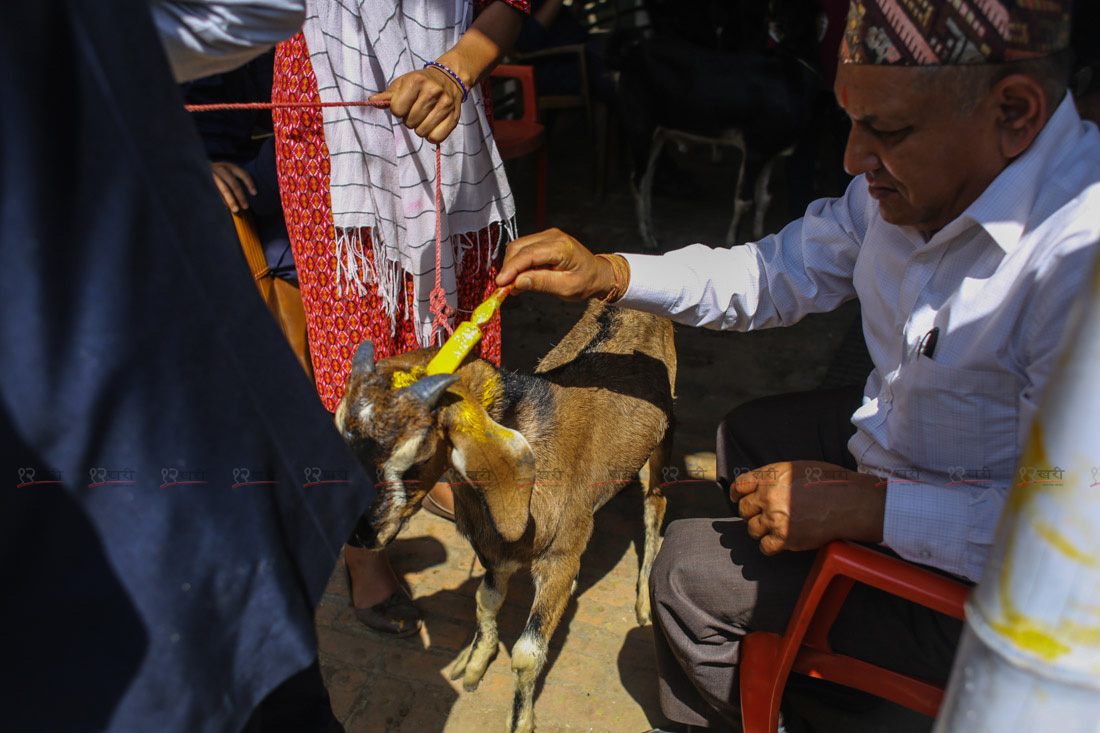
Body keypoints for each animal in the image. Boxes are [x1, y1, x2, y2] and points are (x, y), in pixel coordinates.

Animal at [338, 299, 673, 726]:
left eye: (421, 451)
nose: (360, 534)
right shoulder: (495, 552)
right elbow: (485, 600)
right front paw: (473, 663)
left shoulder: (563, 558)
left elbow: (527, 654)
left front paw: (521, 722)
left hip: (666, 435)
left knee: (655, 505)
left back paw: (644, 601)